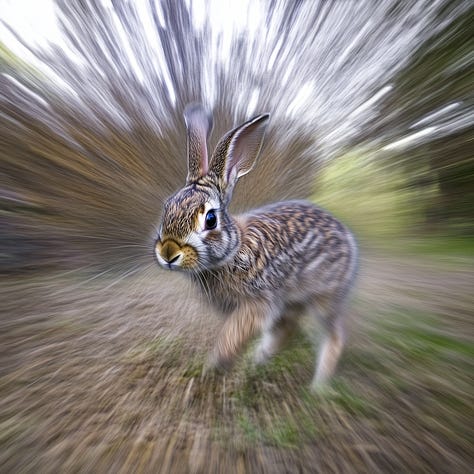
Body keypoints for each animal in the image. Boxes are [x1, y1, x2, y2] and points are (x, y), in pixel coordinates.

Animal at [154, 104, 358, 388]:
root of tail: (348, 236)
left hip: (324, 297)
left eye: (210, 219)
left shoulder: (258, 303)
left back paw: (318, 386)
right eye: (166, 208)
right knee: (288, 328)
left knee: (334, 335)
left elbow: (232, 335)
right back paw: (257, 361)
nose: (168, 253)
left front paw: (213, 366)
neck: (231, 251)